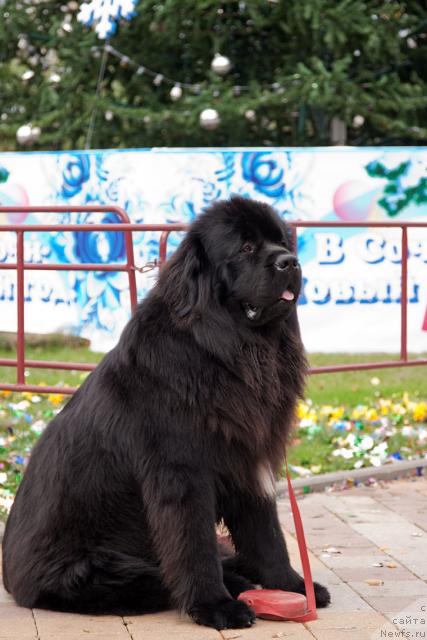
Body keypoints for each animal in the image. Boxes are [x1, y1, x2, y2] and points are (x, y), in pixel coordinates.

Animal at [1, 198, 332, 628]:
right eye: (245, 248)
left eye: (281, 241)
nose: (290, 262)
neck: (227, 351)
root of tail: (11, 580)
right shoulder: (182, 474)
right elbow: (194, 546)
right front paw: (216, 606)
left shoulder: (248, 460)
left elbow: (267, 535)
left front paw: (293, 587)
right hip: (104, 573)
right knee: (159, 575)